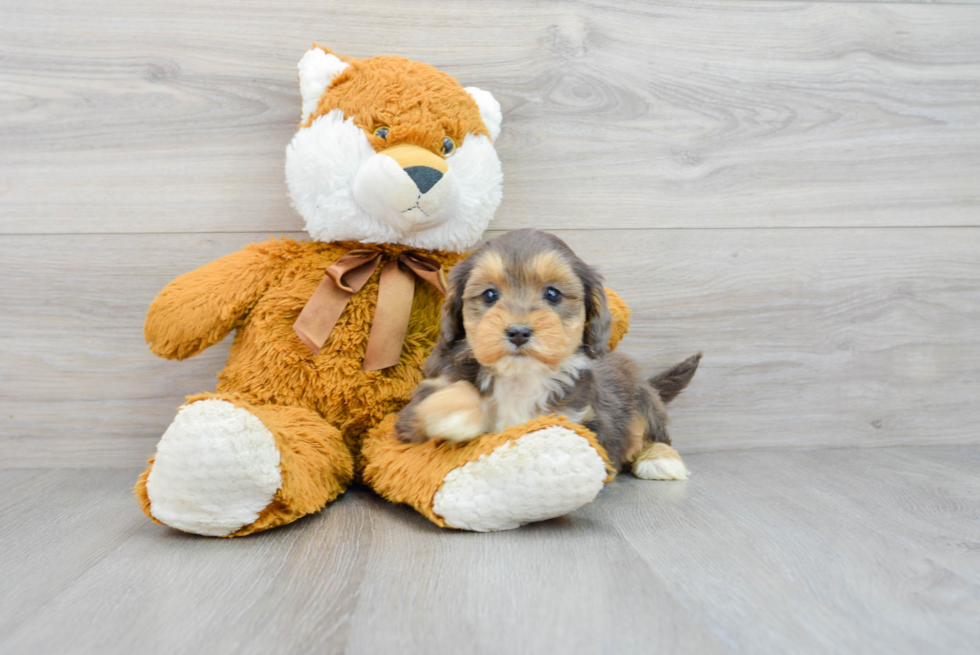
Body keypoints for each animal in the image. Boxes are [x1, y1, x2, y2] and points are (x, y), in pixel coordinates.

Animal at [394, 231, 700, 482]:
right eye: (490, 295)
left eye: (553, 294)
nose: (518, 332)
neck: (521, 377)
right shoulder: (422, 401)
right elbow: (447, 398)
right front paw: (455, 413)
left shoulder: (588, 422)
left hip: (643, 400)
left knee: (655, 434)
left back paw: (661, 459)